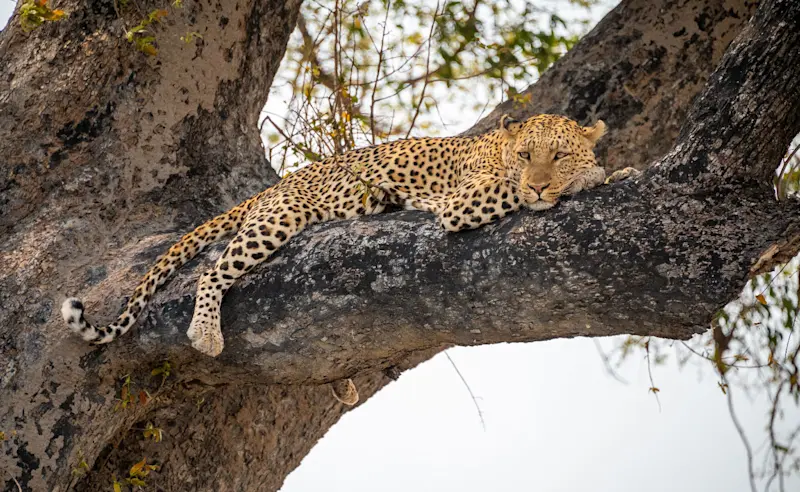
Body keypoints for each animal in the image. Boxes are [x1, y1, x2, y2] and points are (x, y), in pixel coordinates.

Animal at [61, 113, 637, 405]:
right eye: (525, 156)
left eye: (557, 154)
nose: (540, 184)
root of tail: (278, 183)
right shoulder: (464, 200)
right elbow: (513, 191)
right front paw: (590, 176)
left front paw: (614, 172)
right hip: (279, 219)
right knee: (212, 269)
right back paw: (205, 332)